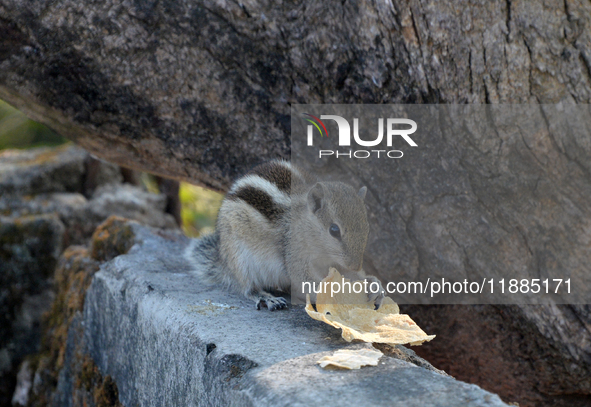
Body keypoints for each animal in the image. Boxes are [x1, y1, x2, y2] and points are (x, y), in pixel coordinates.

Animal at [186, 160, 388, 312]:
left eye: (367, 227)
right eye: (334, 230)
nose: (356, 265)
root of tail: (223, 260)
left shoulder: (335, 263)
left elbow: (345, 274)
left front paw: (372, 284)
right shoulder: (294, 252)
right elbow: (304, 278)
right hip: (240, 259)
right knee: (248, 287)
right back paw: (266, 298)